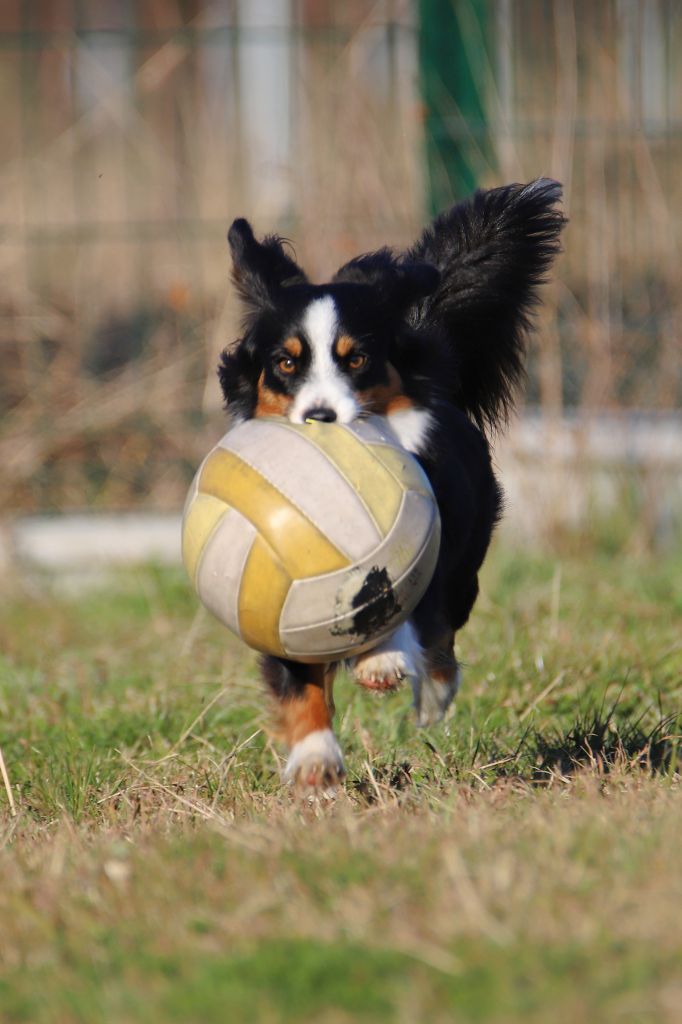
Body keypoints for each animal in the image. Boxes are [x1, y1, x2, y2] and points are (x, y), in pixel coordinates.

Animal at [218, 178, 561, 790]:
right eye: (286, 363)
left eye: (356, 360)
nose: (321, 418)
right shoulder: (267, 596)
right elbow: (298, 680)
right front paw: (315, 758)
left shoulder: (429, 546)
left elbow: (405, 608)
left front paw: (380, 662)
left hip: (466, 558)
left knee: (444, 632)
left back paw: (433, 693)